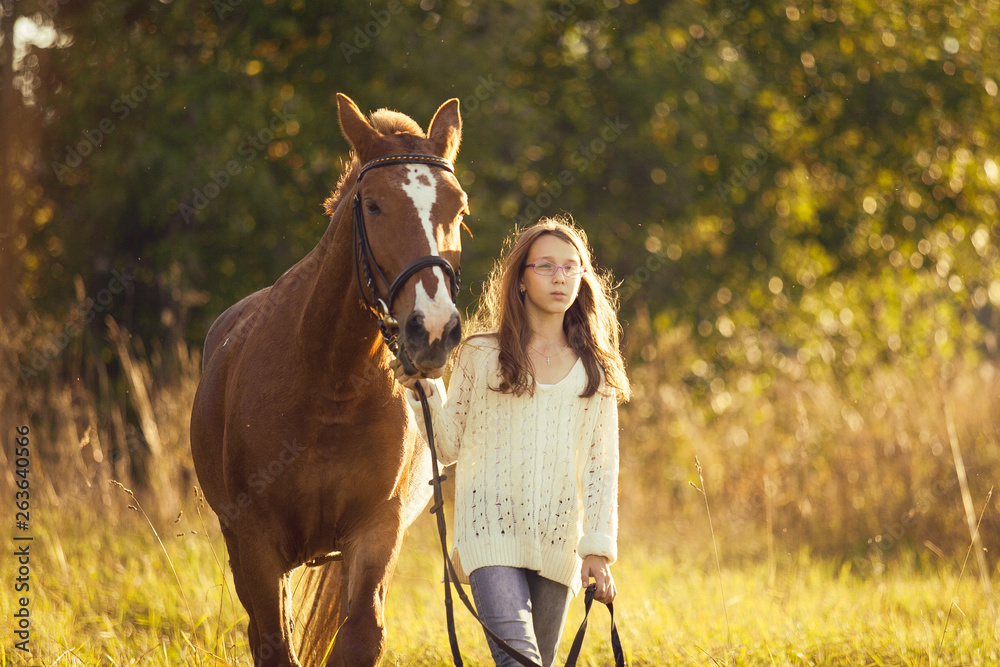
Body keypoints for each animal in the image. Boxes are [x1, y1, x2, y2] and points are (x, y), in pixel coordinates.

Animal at [189, 93, 468, 666]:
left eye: (458, 208)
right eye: (374, 205)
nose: (432, 330)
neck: (328, 388)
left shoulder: (376, 531)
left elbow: (359, 635)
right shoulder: (255, 542)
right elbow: (274, 643)